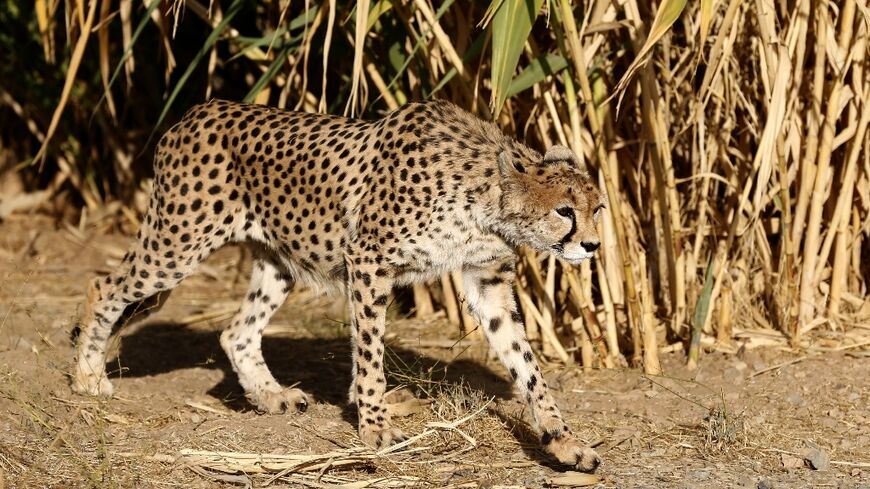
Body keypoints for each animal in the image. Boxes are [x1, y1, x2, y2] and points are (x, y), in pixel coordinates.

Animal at [71, 98, 608, 468]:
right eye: (565, 211)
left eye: (598, 208)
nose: (593, 246)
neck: (485, 200)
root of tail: (194, 112)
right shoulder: (368, 262)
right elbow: (369, 353)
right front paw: (374, 426)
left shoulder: (487, 281)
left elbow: (527, 365)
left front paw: (563, 440)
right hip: (178, 243)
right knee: (104, 287)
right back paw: (87, 377)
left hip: (279, 261)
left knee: (236, 331)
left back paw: (271, 396)